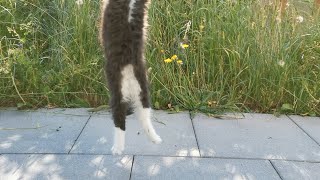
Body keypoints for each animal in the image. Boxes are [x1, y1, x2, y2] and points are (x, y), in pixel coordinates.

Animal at [100, 0, 162, 155]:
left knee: (119, 122)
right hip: (142, 90)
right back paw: (154, 138)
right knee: (145, 117)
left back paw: (117, 148)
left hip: (117, 94)